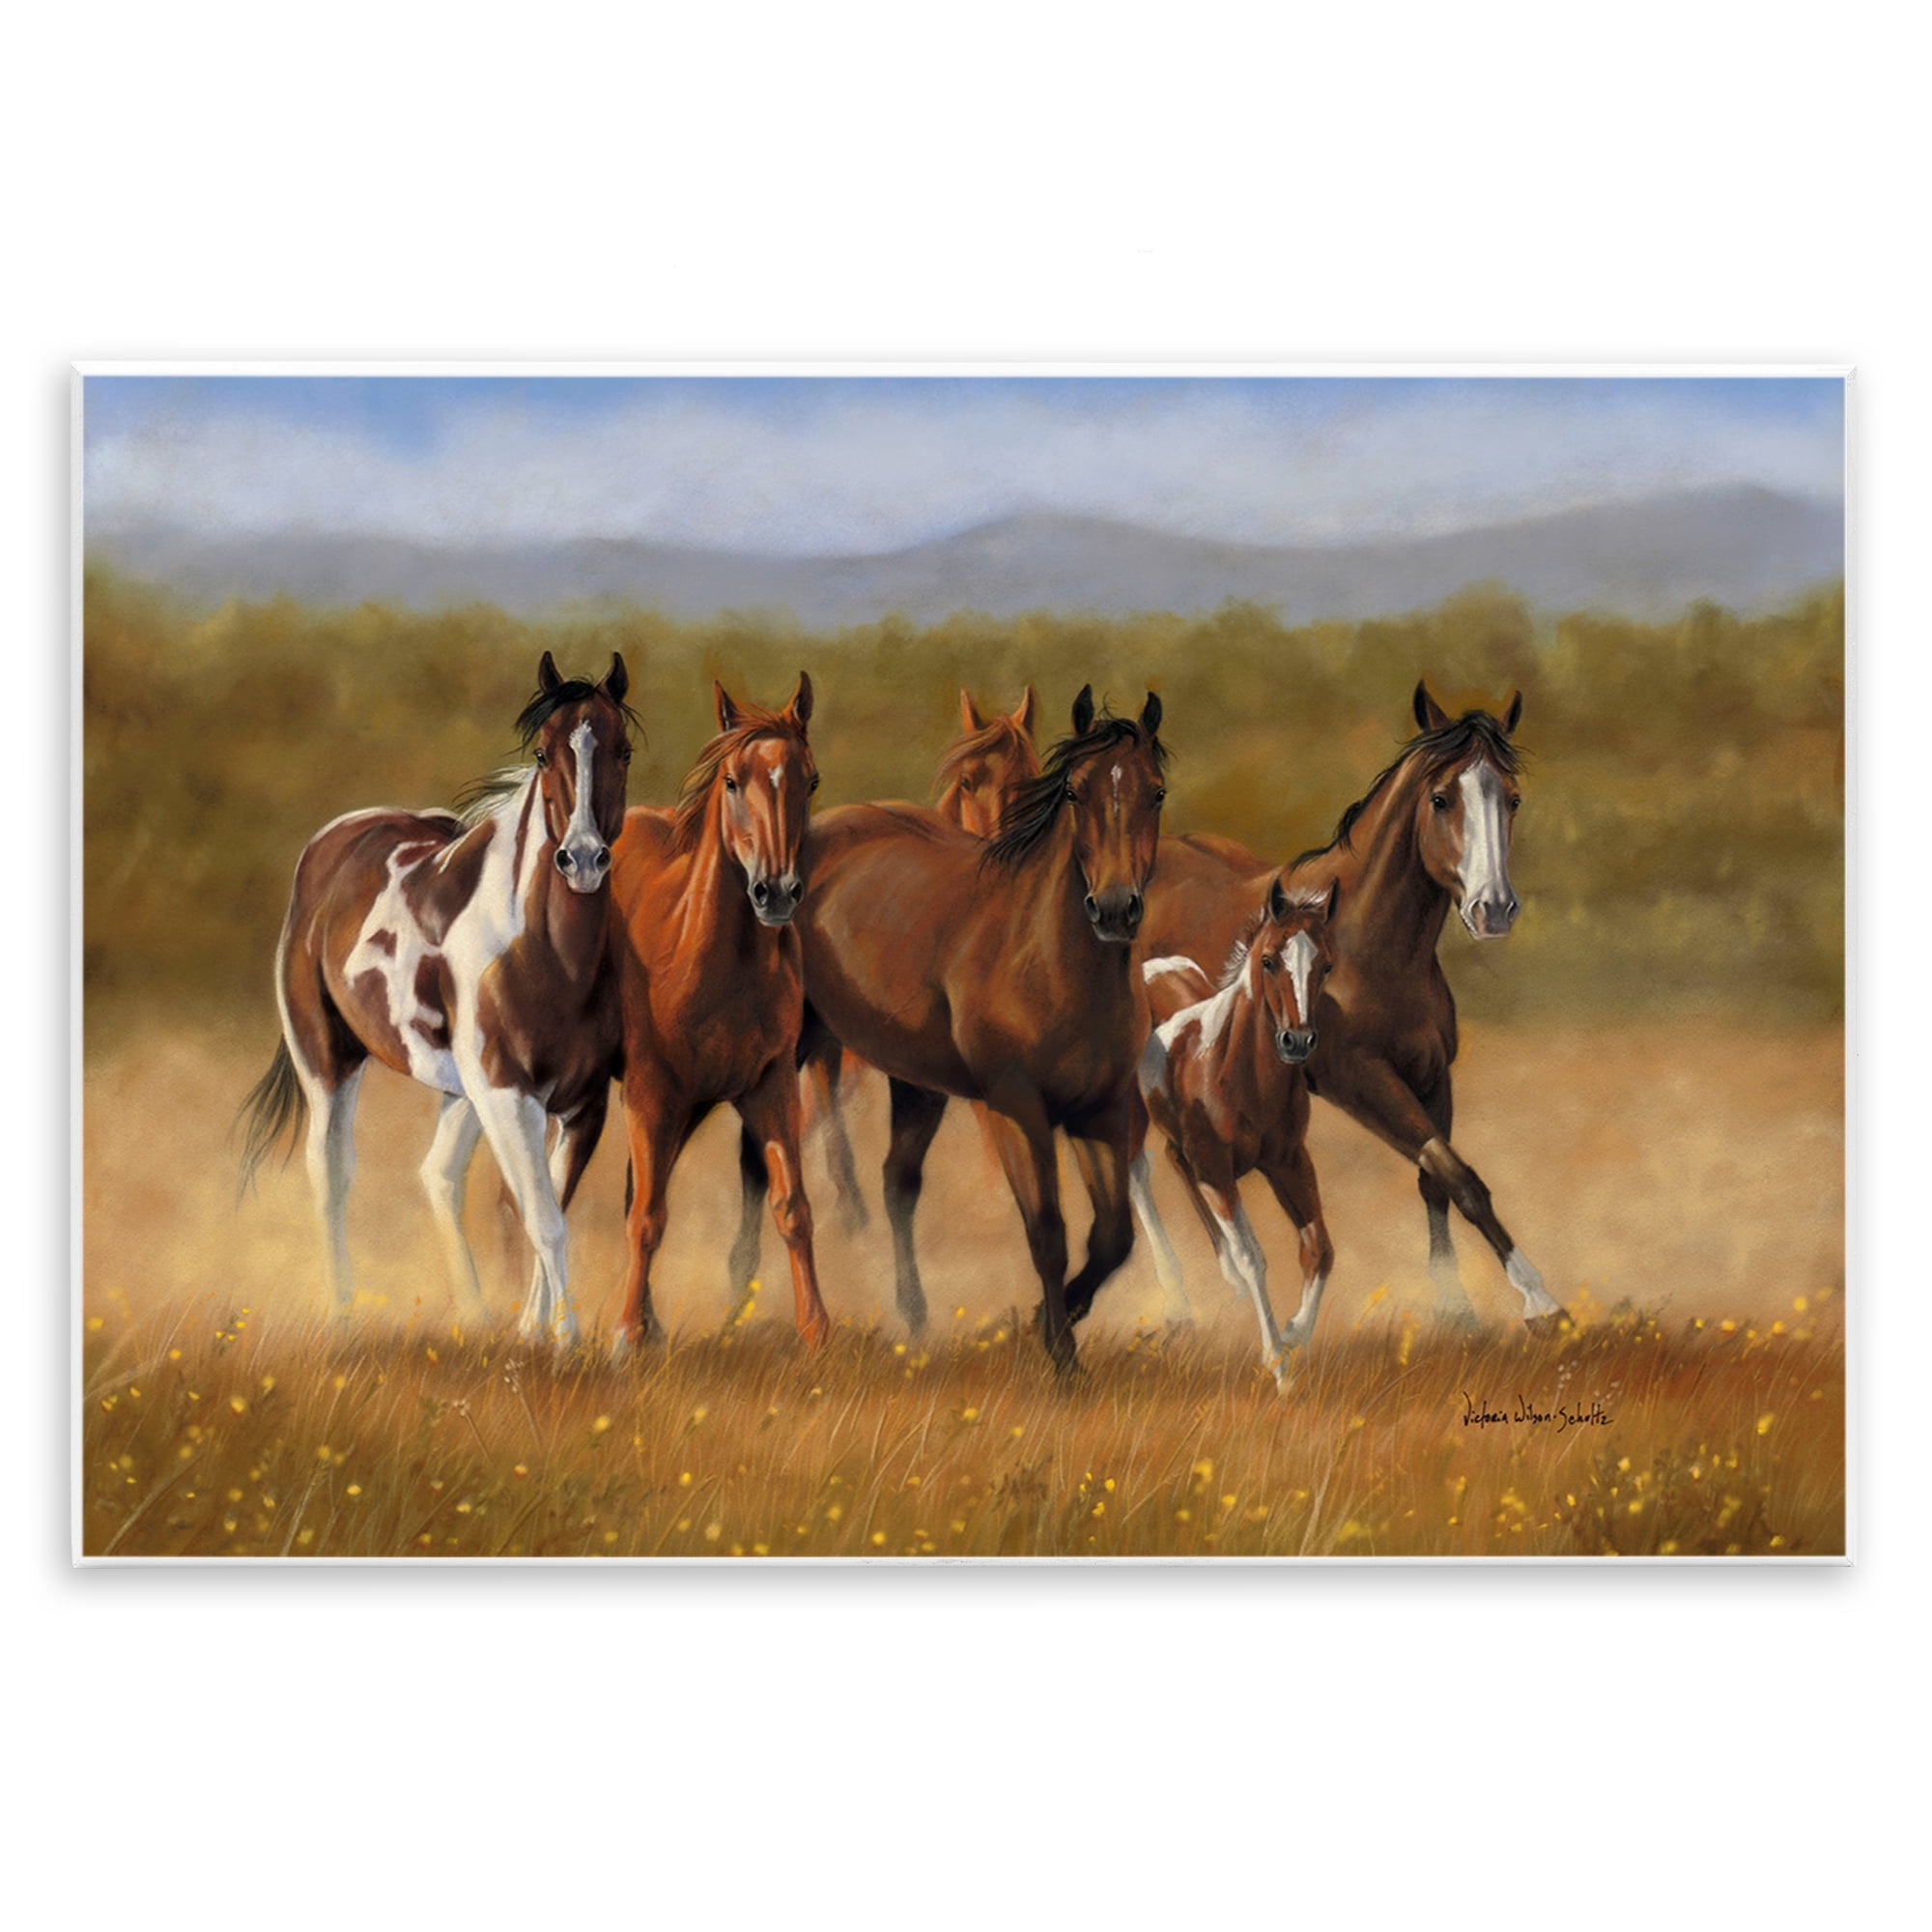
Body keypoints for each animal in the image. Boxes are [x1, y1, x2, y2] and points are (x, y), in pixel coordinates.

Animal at [237, 652, 635, 1344]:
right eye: (542, 752)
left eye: (624, 751)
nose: (582, 859)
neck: (546, 955)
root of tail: (336, 838)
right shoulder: (509, 1093)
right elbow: (544, 1219)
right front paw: (564, 1339)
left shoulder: (581, 1105)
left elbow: (549, 1209)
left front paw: (534, 1331)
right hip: (327, 1061)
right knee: (330, 1172)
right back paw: (342, 1314)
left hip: (459, 1093)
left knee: (439, 1177)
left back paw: (474, 1315)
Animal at [597, 674, 833, 1354]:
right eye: (732, 780)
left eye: (810, 780)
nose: (775, 892)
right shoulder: (650, 1093)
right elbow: (647, 1218)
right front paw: (621, 1339)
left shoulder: (771, 1088)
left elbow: (793, 1208)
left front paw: (817, 1333)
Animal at [1130, 878, 1337, 1385]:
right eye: (1269, 960)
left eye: (1326, 965)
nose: (1297, 1042)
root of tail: (1150, 967)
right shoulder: (1216, 1168)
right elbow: (1253, 1256)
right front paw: (1278, 1363)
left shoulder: (1289, 1162)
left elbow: (1318, 1249)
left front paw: (1294, 1331)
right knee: (1138, 1175)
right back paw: (1180, 1302)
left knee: (1173, 1162)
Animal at [1138, 682, 1569, 1336]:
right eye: (1441, 798)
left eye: (1512, 799)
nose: (1493, 910)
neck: (1369, 945)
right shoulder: (1361, 1080)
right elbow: (1460, 1175)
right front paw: (1540, 1301)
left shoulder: (1431, 1074)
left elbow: (1435, 1179)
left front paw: (1454, 1306)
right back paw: (1180, 1303)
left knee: (1172, 1153)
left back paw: (1230, 1280)